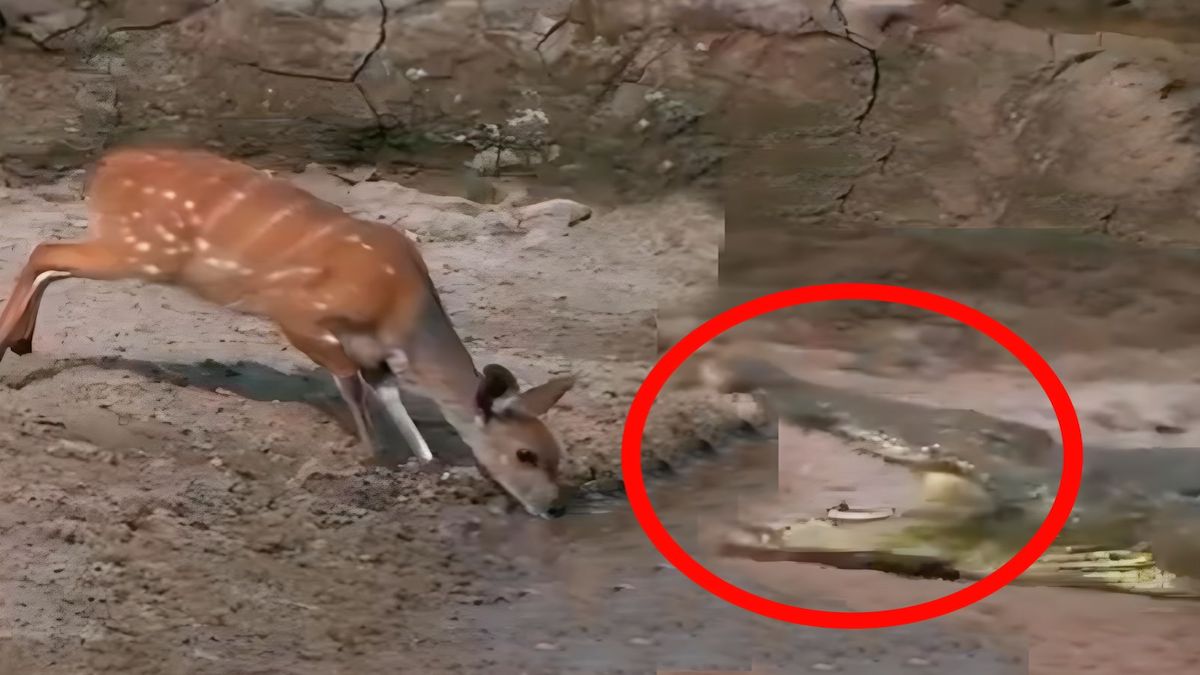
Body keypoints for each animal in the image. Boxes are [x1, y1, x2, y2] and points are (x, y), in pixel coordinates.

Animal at [0, 145, 576, 514]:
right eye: (525, 453)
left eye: (555, 454)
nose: (553, 509)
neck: (400, 308)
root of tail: (102, 168)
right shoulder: (298, 315)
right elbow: (349, 383)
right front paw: (373, 456)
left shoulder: (376, 354)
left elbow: (390, 396)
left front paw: (423, 461)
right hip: (143, 250)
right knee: (45, 249)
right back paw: (8, 343)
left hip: (134, 249)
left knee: (52, 260)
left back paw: (23, 343)